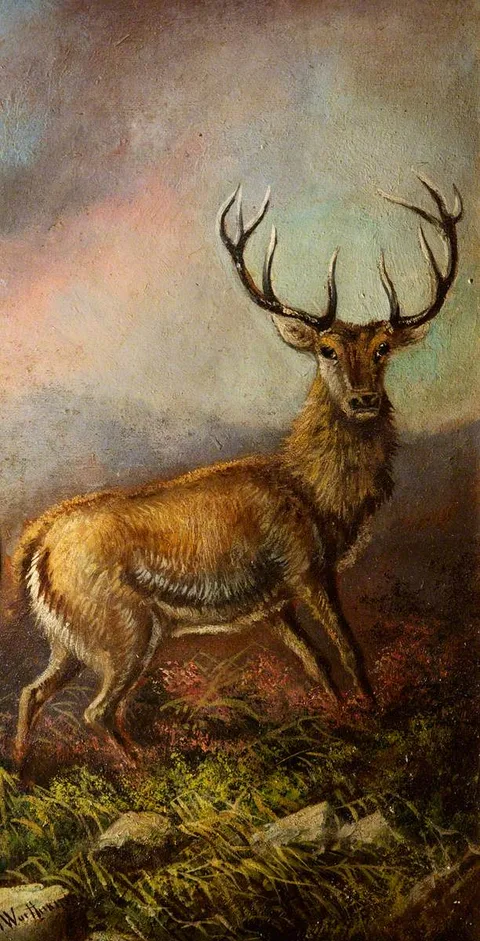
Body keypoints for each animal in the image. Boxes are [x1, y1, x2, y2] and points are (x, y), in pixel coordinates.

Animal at [12, 176, 462, 765]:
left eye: (383, 348)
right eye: (326, 350)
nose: (364, 400)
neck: (316, 497)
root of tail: (35, 545)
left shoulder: (272, 602)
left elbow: (316, 663)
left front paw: (343, 718)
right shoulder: (306, 567)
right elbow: (349, 650)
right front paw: (377, 717)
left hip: (68, 638)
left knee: (29, 692)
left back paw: (23, 770)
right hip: (123, 626)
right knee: (97, 710)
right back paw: (148, 772)